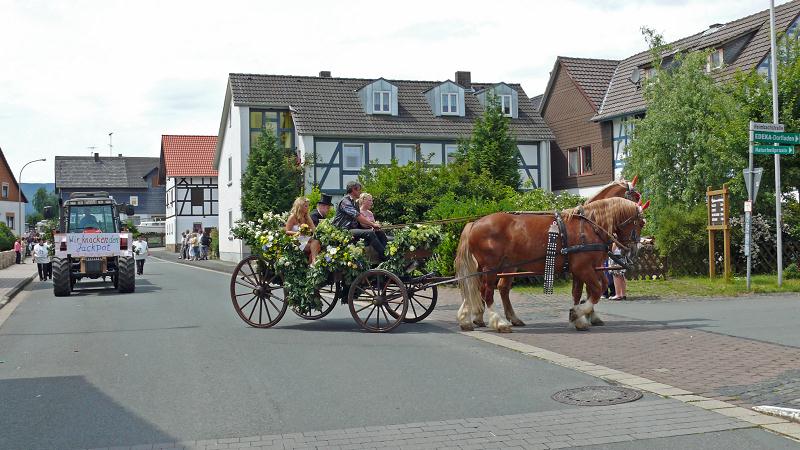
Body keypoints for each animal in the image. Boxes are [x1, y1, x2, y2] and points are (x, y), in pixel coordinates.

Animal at [456, 199, 644, 332]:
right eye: (641, 223)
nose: (634, 251)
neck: (591, 227)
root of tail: (474, 223)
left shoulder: (586, 269)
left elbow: (585, 291)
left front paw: (579, 317)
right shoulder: (583, 268)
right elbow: (597, 290)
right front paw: (578, 313)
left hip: (488, 267)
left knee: (472, 287)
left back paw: (467, 318)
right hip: (491, 268)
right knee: (486, 292)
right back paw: (499, 322)